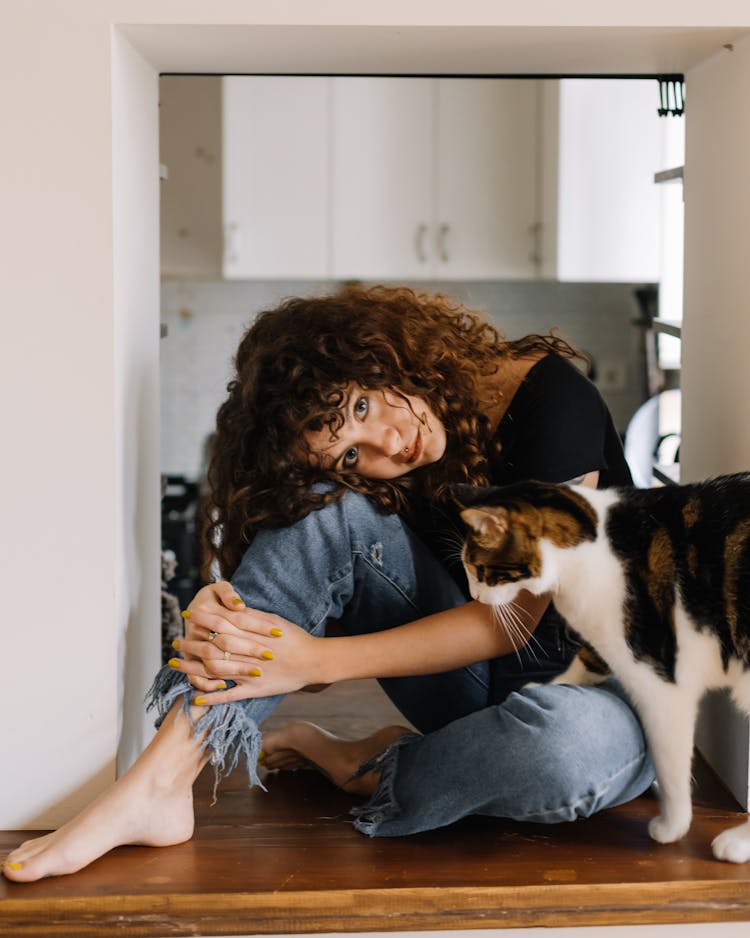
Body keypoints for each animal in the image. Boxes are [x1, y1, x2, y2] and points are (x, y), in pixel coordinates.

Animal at [456, 476, 750, 864]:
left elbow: (670, 765)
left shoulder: (660, 684)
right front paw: (550, 685)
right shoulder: (606, 636)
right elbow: (587, 659)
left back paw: (736, 843)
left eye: (477, 570)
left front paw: (672, 826)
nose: (475, 597)